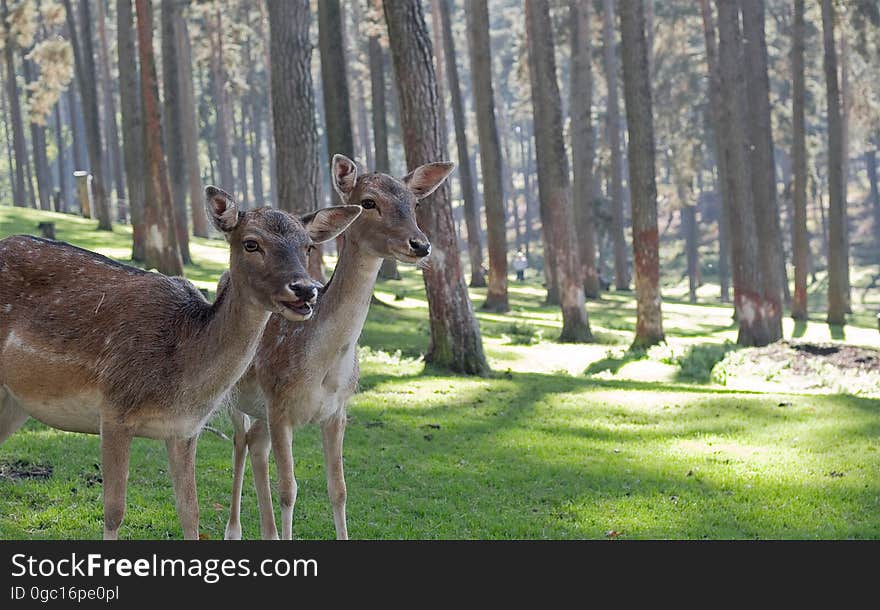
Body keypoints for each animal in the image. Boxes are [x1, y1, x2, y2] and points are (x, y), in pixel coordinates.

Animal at [0, 188, 360, 540]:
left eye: (308, 246)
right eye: (251, 243)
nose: (305, 289)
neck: (182, 378)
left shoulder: (184, 430)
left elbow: (191, 514)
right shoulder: (113, 410)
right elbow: (114, 512)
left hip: (15, 402)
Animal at [225, 153, 454, 536]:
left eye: (415, 203)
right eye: (368, 202)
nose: (420, 245)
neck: (322, 367)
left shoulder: (337, 410)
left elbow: (340, 490)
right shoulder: (279, 404)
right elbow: (289, 489)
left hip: (260, 411)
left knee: (255, 444)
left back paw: (269, 533)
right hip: (233, 394)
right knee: (240, 442)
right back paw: (234, 530)